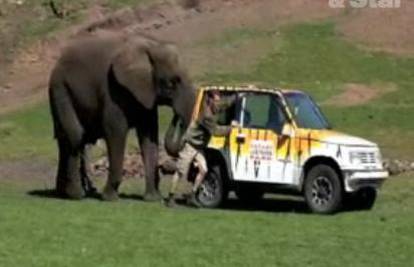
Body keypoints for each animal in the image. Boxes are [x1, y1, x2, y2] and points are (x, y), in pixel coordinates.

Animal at [48, 31, 196, 202]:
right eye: (172, 83)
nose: (176, 117)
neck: (151, 46)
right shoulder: (112, 91)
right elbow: (116, 132)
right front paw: (110, 198)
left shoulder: (145, 93)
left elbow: (149, 136)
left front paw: (153, 199)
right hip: (60, 90)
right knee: (75, 135)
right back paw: (76, 195)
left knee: (66, 140)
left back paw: (63, 193)